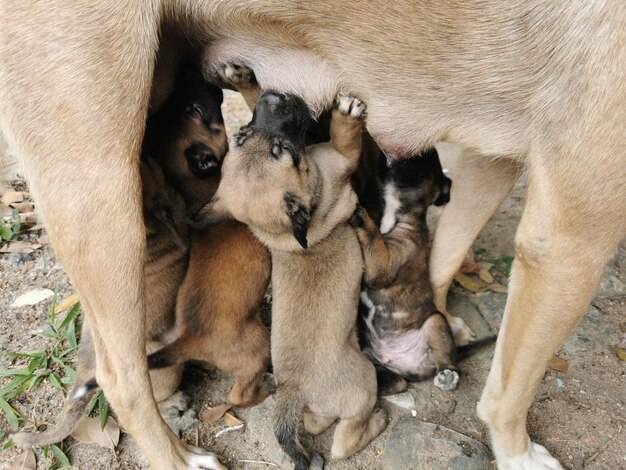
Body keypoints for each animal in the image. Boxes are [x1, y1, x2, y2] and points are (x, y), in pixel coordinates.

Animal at [146, 62, 272, 408]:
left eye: (177, 108)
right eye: (195, 109)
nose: (187, 73)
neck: (192, 185)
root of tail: (190, 340)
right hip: (259, 345)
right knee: (239, 395)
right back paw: (265, 391)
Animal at [191, 91, 386, 466]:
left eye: (241, 134)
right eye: (282, 150)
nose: (272, 96)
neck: (282, 234)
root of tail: (293, 389)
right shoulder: (340, 158)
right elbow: (346, 139)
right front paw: (347, 114)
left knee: (313, 424)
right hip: (364, 384)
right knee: (343, 442)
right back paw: (376, 423)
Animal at [352, 148, 464, 396]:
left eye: (426, 160)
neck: (394, 213)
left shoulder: (384, 264)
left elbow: (372, 234)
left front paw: (358, 211)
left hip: (434, 322)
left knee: (446, 356)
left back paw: (449, 375)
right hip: (379, 362)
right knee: (395, 382)